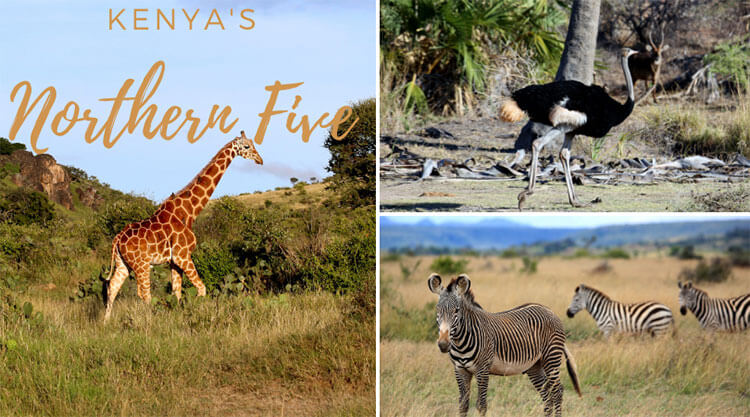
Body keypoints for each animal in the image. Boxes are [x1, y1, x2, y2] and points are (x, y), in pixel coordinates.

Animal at [428, 272, 580, 416]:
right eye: (437, 310)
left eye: (456, 310)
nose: (443, 344)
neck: (460, 343)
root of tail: (548, 309)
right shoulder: (460, 371)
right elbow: (463, 405)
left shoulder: (482, 370)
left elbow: (481, 405)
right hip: (534, 365)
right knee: (546, 393)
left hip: (551, 358)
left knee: (557, 391)